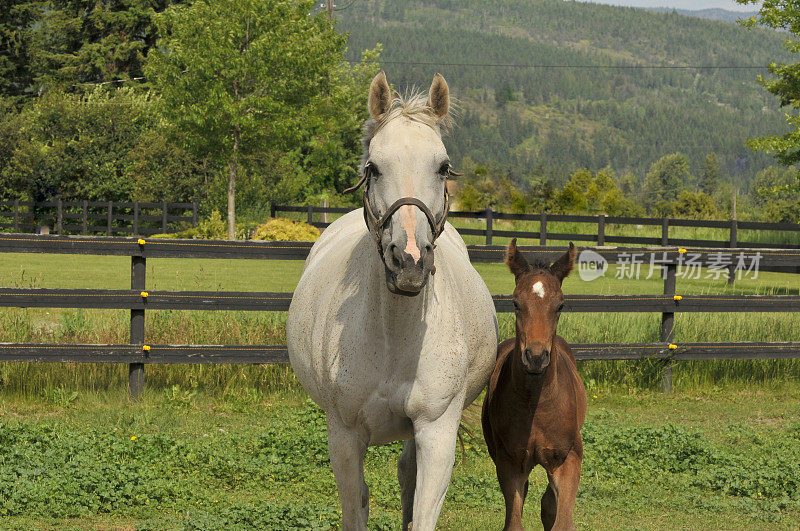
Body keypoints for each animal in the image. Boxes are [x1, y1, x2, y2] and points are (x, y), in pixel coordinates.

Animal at [290, 71, 496, 531]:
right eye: (373, 168)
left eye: (443, 167)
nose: (409, 262)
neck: (393, 337)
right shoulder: (344, 436)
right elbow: (356, 508)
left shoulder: (436, 432)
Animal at [482, 241, 588, 531]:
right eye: (516, 303)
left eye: (560, 305)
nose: (536, 357)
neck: (536, 405)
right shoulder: (510, 462)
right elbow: (514, 522)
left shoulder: (569, 457)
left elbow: (562, 520)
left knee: (549, 502)